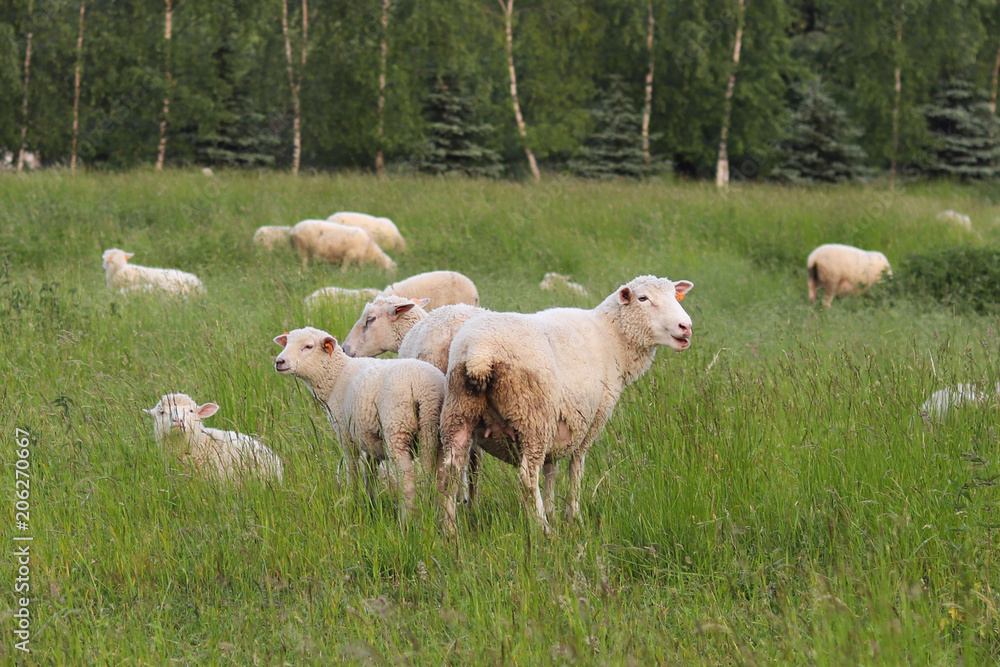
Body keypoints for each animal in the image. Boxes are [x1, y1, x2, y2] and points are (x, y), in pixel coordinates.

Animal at [273, 327, 445, 519]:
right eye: (287, 343)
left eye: (308, 346)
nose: (279, 362)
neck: (335, 376)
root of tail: (424, 388)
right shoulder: (370, 438)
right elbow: (369, 472)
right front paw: (371, 503)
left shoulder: (344, 431)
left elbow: (352, 468)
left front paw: (352, 500)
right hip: (430, 429)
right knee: (435, 474)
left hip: (396, 427)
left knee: (406, 478)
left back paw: (405, 519)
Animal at [438, 275, 694, 534]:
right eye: (643, 298)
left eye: (675, 296)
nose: (686, 326)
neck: (612, 338)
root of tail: (480, 353)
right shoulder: (593, 419)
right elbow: (576, 468)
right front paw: (574, 515)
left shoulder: (561, 423)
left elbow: (552, 469)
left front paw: (553, 510)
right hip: (533, 417)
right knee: (527, 477)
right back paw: (543, 529)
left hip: (459, 409)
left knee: (450, 470)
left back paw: (450, 529)